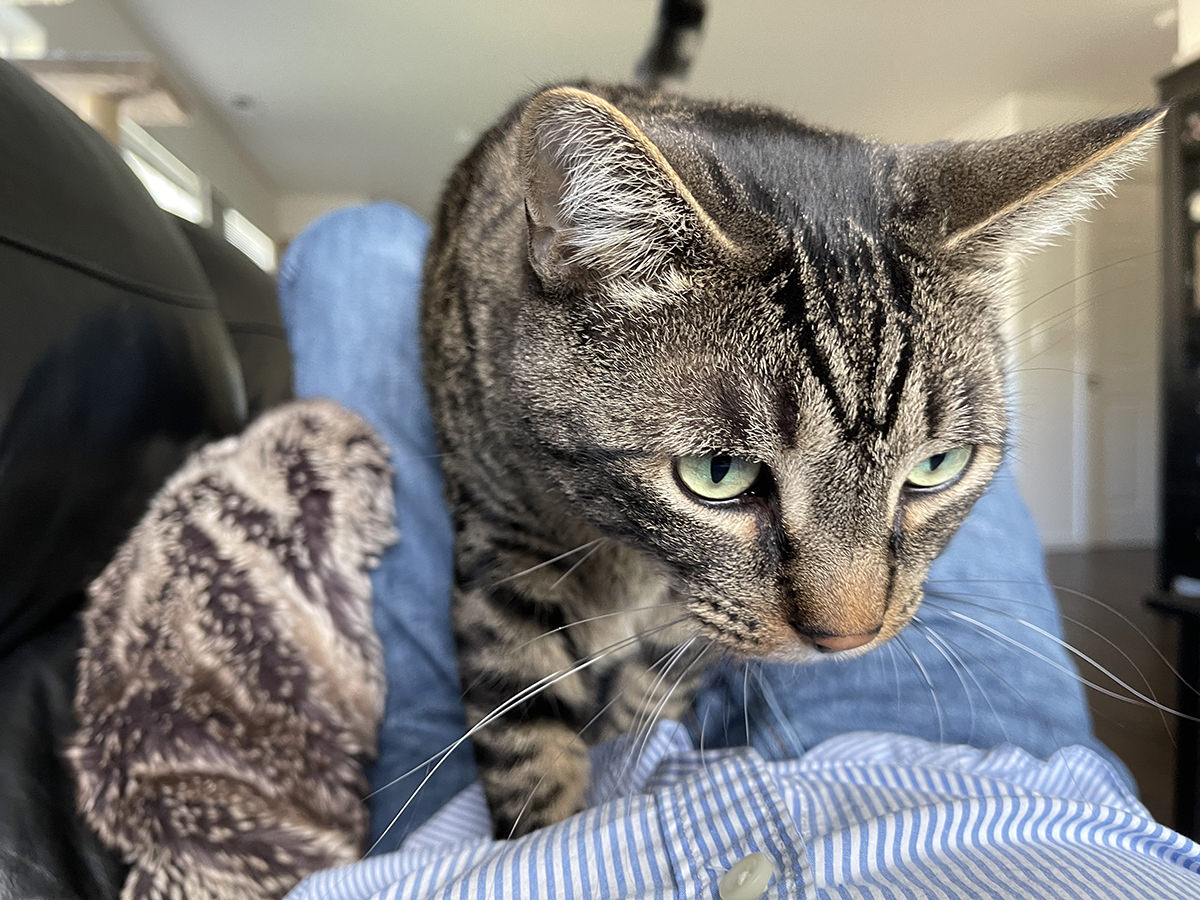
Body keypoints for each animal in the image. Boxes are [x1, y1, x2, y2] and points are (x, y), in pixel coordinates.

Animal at [420, 77, 1161, 840]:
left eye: (936, 468)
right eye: (719, 475)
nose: (848, 637)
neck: (629, 555)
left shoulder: (690, 628)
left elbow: (653, 696)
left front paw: (628, 756)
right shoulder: (500, 549)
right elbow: (526, 744)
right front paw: (550, 831)